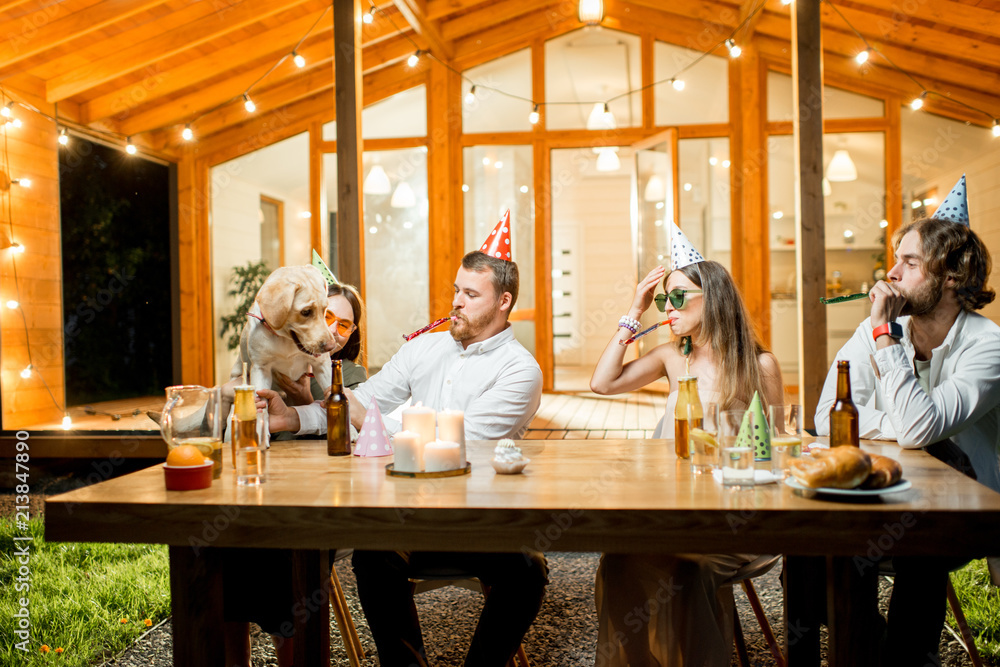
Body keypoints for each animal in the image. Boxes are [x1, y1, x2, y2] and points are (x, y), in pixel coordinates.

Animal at [230, 264, 336, 396]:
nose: (331, 346)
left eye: (325, 309)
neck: (285, 340)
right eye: (306, 312)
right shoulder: (260, 369)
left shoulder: (322, 365)